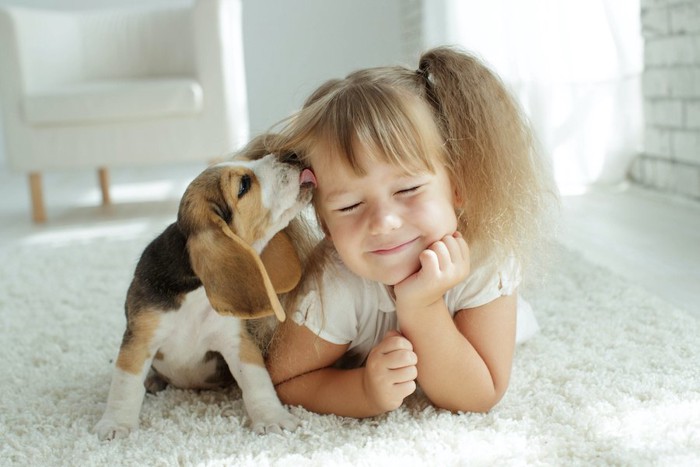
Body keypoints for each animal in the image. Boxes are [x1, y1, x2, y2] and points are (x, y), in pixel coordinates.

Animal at [95, 154, 318, 442]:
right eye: (243, 185)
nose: (290, 155)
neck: (196, 294)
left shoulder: (236, 341)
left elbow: (257, 381)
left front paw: (272, 418)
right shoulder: (140, 338)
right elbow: (125, 384)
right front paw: (116, 424)